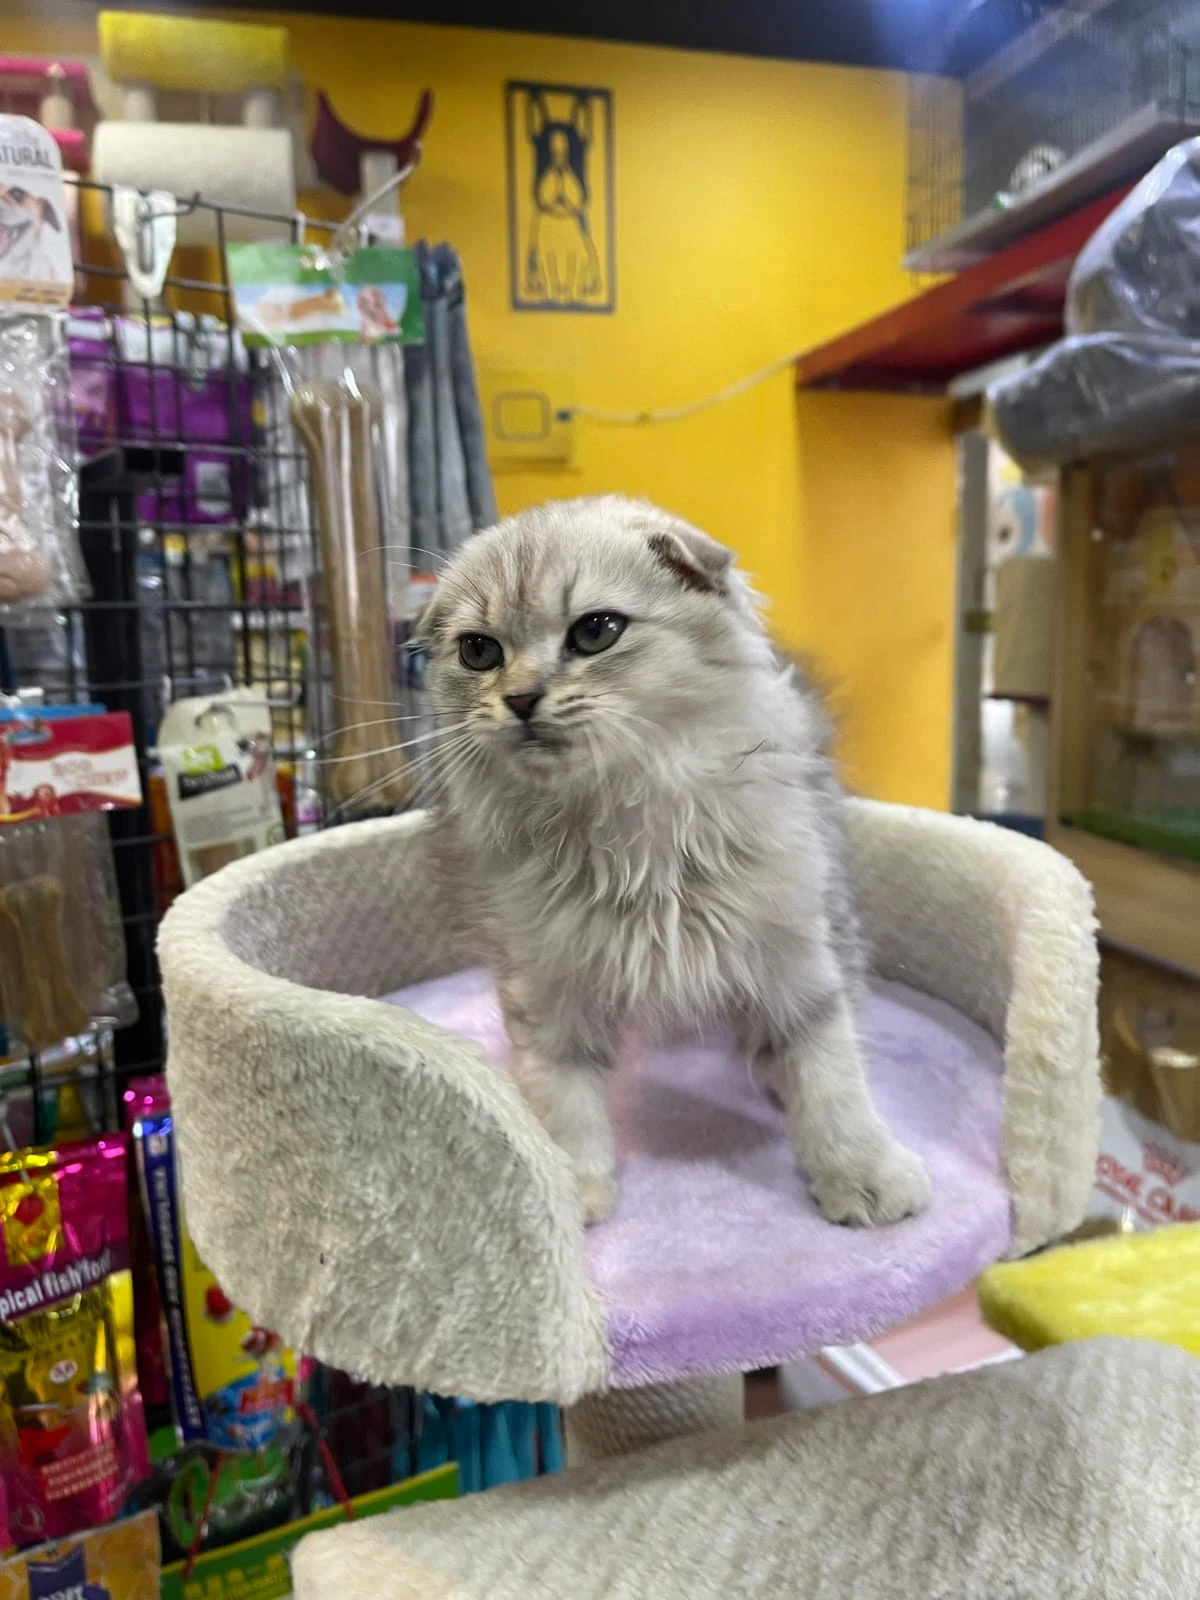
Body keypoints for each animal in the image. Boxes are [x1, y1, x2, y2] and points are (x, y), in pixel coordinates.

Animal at [419, 496, 934, 1222]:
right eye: (479, 651)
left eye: (597, 632)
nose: (518, 699)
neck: (626, 829)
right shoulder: (544, 980)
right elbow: (563, 1098)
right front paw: (569, 1189)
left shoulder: (796, 952)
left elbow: (832, 1076)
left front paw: (860, 1172)